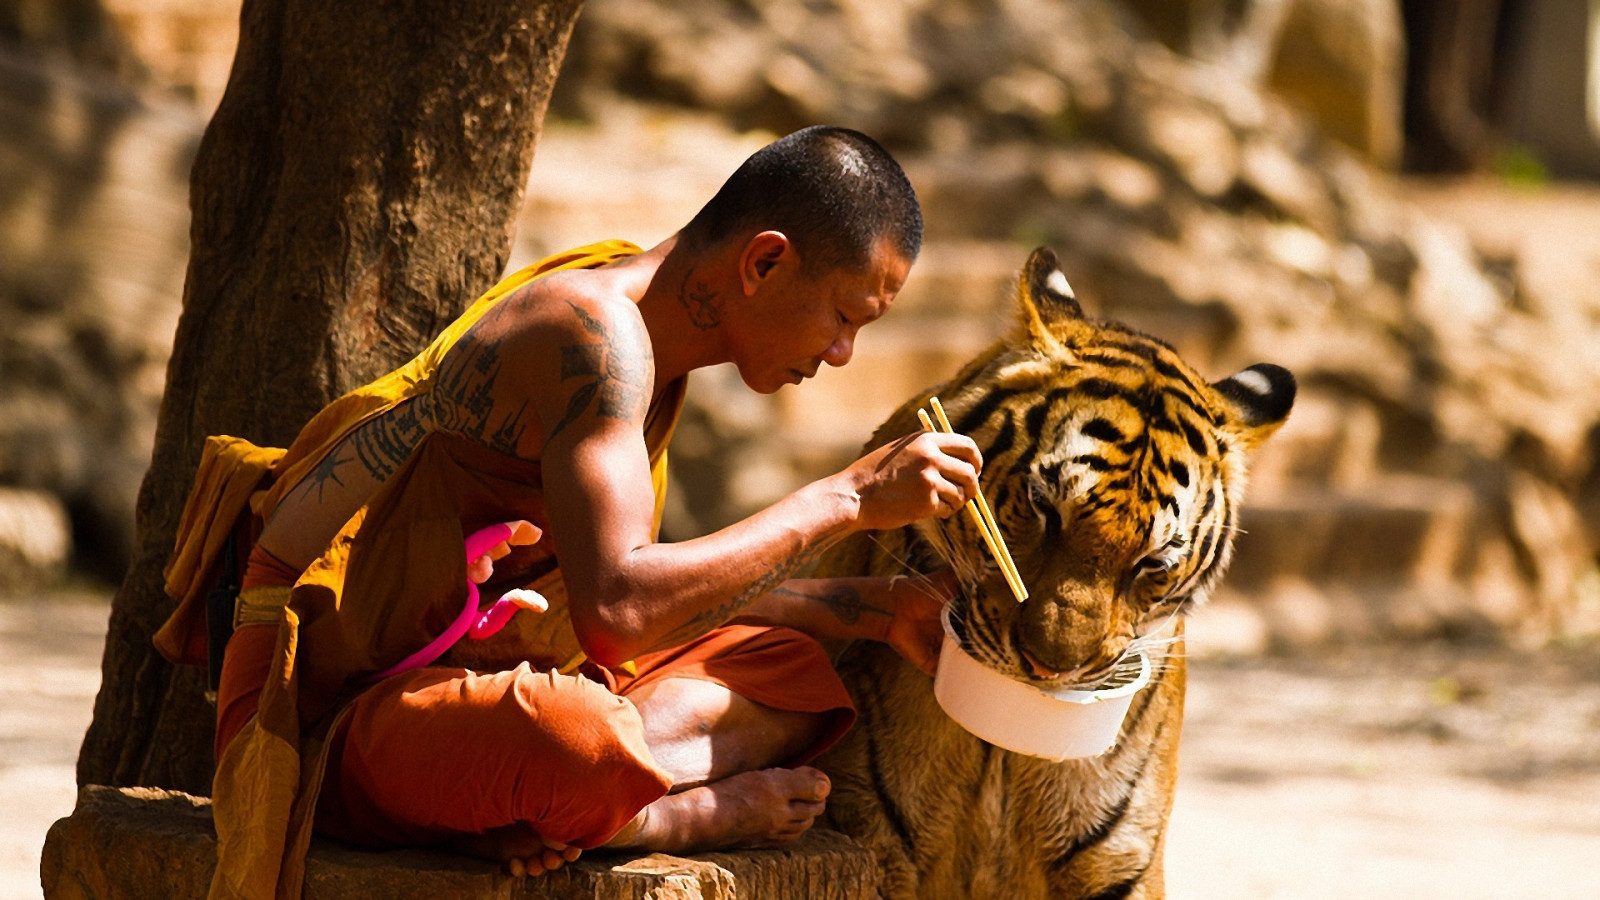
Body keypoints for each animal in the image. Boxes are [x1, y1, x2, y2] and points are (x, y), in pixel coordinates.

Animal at [813, 245, 1295, 899]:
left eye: (1152, 564)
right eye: (1044, 508)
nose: (1047, 669)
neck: (1002, 752)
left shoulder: (1119, 859)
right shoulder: (869, 832)